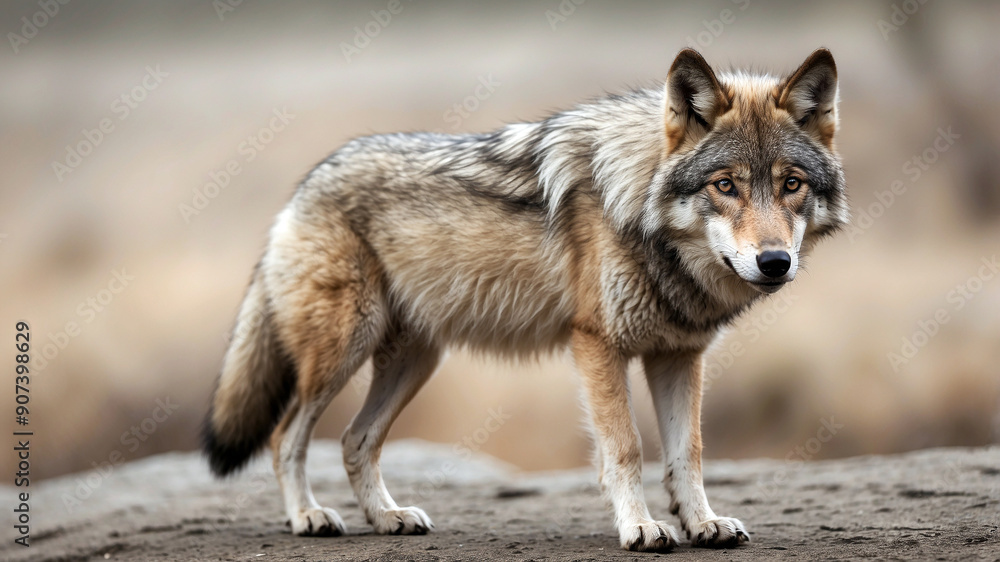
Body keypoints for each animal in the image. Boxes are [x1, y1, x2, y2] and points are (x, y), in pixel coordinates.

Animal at [202, 48, 847, 552]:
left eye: (791, 184)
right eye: (726, 185)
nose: (774, 262)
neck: (639, 208)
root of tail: (304, 186)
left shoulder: (678, 356)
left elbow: (687, 452)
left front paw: (703, 523)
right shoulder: (598, 346)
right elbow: (627, 448)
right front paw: (640, 529)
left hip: (414, 362)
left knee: (354, 441)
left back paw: (388, 518)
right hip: (342, 352)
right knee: (286, 437)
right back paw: (309, 517)